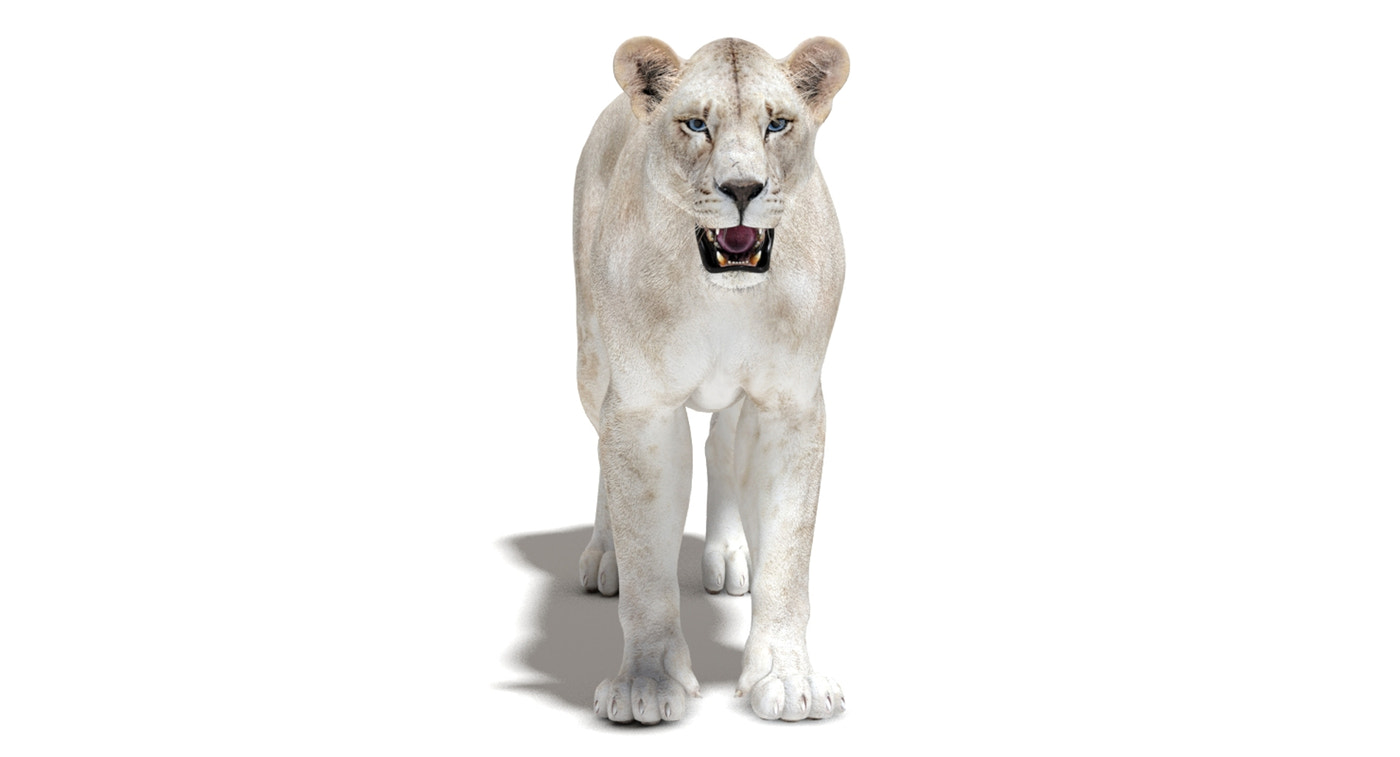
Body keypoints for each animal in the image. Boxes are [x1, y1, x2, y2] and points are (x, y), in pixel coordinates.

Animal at [572, 36, 850, 723]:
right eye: (696, 124)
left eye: (778, 124)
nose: (743, 187)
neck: (723, 293)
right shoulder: (642, 406)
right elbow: (647, 556)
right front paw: (646, 685)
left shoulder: (789, 404)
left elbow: (788, 555)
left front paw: (789, 680)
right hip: (592, 362)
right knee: (602, 447)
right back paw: (605, 555)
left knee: (722, 444)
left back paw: (728, 554)